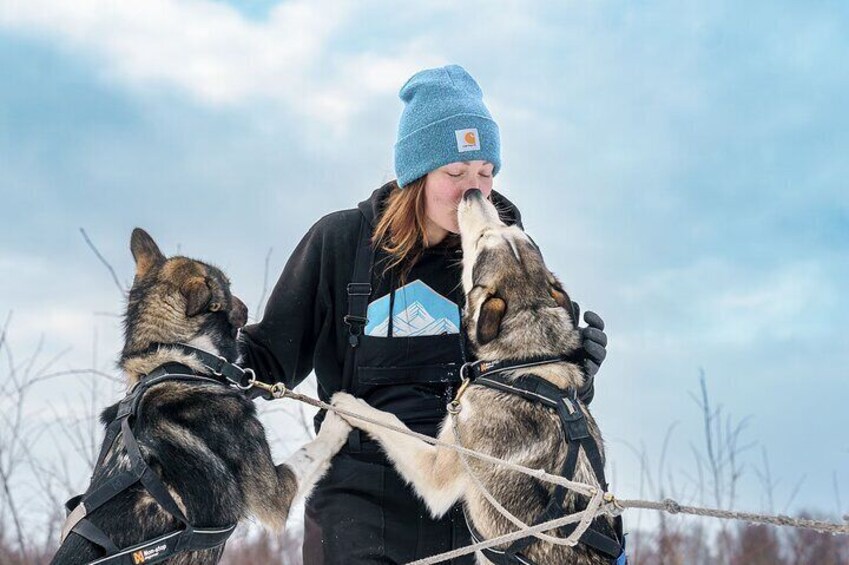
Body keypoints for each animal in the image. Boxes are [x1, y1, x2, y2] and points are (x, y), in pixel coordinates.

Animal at [50, 229, 352, 564]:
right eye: (228, 286)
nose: (246, 308)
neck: (177, 360)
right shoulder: (276, 495)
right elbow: (313, 449)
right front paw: (343, 415)